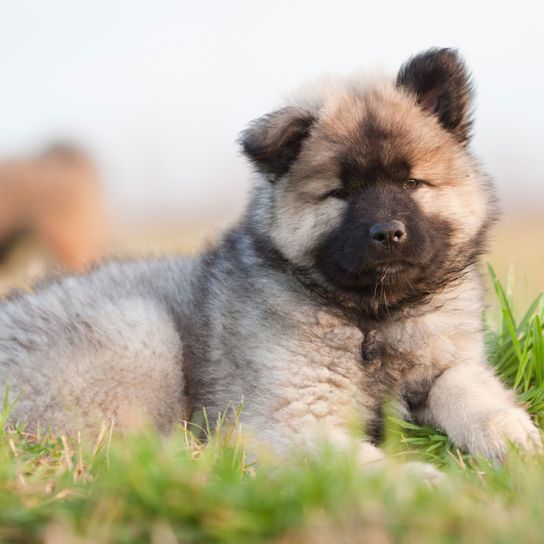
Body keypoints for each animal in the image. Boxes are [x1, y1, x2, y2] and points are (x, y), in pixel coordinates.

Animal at [0, 50, 540, 472]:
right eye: (340, 193)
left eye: (411, 182)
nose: (388, 233)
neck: (373, 317)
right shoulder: (294, 417)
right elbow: (357, 464)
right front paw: (420, 485)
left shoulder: (450, 365)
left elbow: (476, 398)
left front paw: (514, 439)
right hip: (138, 332)